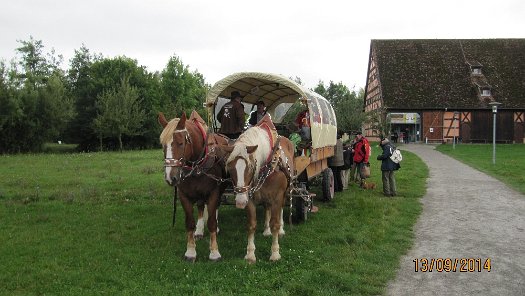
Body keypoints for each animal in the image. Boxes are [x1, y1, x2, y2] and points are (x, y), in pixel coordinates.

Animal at [158, 111, 227, 262]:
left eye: (180, 143)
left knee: (215, 207)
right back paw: (199, 230)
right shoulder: (184, 195)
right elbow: (189, 223)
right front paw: (190, 251)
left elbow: (212, 222)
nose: (170, 178)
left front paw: (214, 252)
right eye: (162, 145)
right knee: (201, 206)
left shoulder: (213, 192)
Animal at [217, 116, 294, 264]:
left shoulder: (277, 196)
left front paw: (275, 253)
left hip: (285, 193)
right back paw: (266, 230)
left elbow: (275, 223)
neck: (268, 164)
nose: (240, 202)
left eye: (251, 167)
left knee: (281, 210)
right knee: (267, 208)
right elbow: (251, 225)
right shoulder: (250, 197)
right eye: (230, 169)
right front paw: (250, 254)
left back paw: (281, 230)